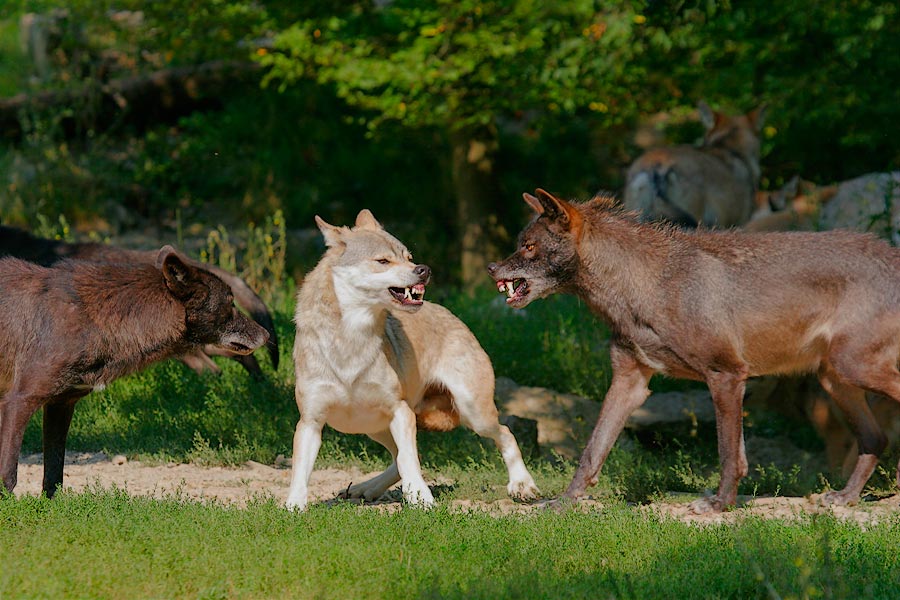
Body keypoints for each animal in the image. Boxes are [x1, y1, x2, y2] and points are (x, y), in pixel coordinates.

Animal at [284, 210, 536, 510]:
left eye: (408, 256)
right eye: (383, 261)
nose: (423, 270)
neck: (351, 339)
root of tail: (453, 315)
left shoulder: (400, 411)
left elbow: (409, 460)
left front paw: (421, 498)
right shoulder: (310, 422)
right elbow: (300, 470)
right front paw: (293, 507)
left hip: (473, 413)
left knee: (505, 433)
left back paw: (522, 485)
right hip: (373, 428)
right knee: (399, 460)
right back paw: (365, 488)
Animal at [488, 190, 900, 512]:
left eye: (528, 246)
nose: (492, 267)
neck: (643, 284)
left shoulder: (727, 375)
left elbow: (729, 454)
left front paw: (719, 505)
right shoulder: (629, 383)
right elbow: (592, 451)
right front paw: (562, 503)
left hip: (852, 369)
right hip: (835, 380)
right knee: (876, 438)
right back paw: (845, 498)